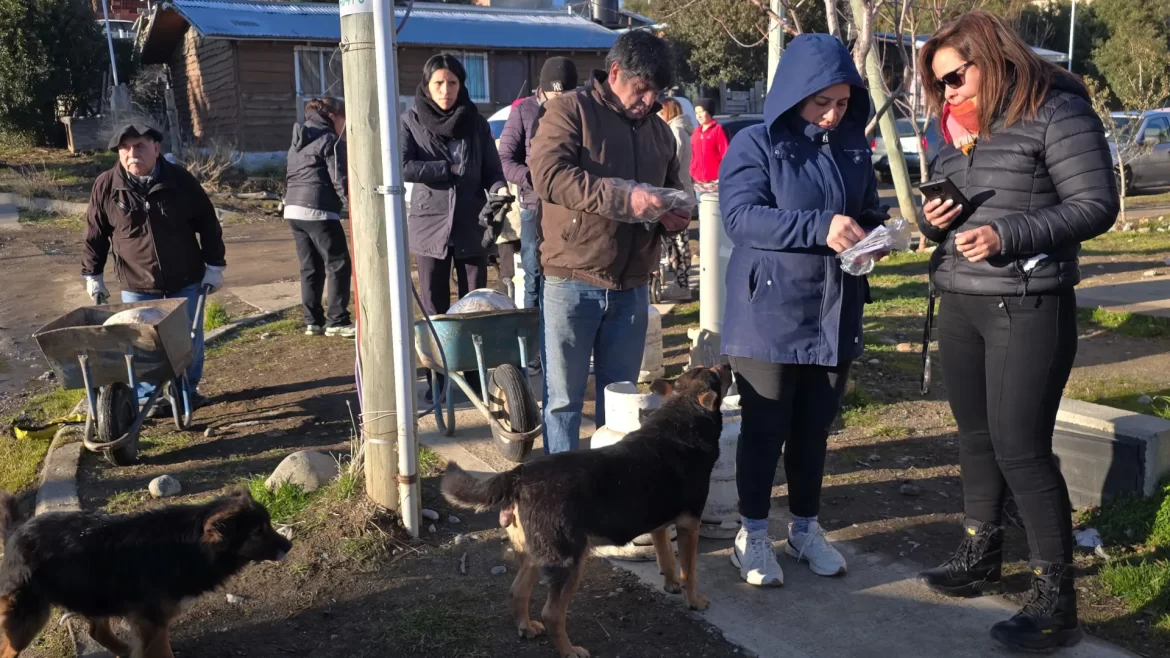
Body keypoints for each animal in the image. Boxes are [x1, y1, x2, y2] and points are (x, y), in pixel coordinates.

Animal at [0, 487, 291, 655]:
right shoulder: (151, 621)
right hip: (27, 617)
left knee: (98, 632)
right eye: (258, 531)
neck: (188, 546)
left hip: (97, 593)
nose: (289, 545)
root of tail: (16, 530)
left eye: (268, 524)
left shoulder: (150, 622)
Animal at [444, 362, 730, 655]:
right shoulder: (689, 525)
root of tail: (519, 474)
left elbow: (666, 558)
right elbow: (689, 572)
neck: (682, 412)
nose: (727, 364)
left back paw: (526, 627)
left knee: (518, 591)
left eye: (707, 369)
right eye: (716, 374)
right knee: (552, 614)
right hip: (569, 562)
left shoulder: (659, 524)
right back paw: (569, 651)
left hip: (537, 555)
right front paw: (693, 600)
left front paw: (671, 584)